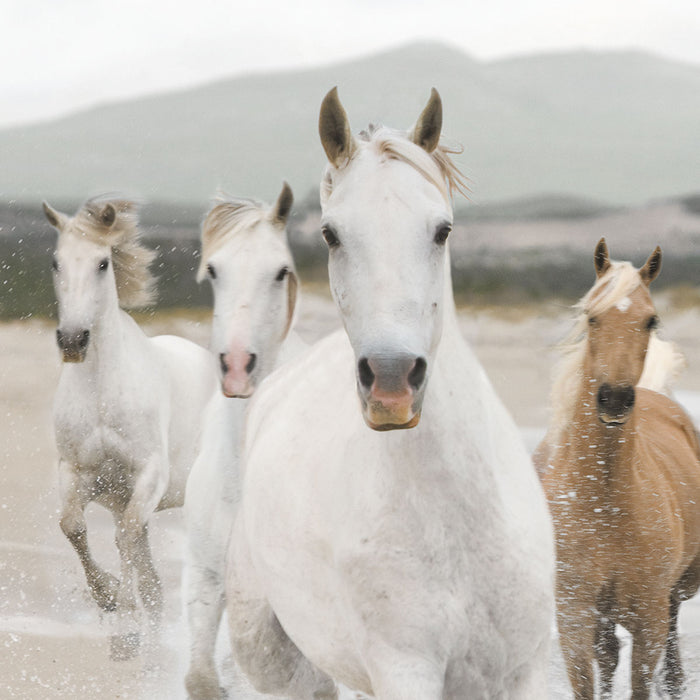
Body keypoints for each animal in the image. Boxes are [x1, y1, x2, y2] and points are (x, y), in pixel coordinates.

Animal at [43, 197, 217, 659]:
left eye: (103, 263)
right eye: (56, 261)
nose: (72, 341)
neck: (103, 388)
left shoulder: (148, 475)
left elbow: (123, 538)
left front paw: (124, 631)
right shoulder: (78, 473)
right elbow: (74, 527)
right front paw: (107, 598)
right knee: (150, 575)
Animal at [224, 87, 555, 699]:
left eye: (442, 229)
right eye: (330, 234)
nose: (393, 379)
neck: (458, 521)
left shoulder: (526, 669)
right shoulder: (404, 667)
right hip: (273, 657)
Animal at [538, 238, 700, 699]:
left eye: (651, 320)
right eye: (592, 317)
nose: (614, 398)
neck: (603, 502)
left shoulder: (647, 620)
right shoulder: (574, 618)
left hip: (676, 592)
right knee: (609, 656)